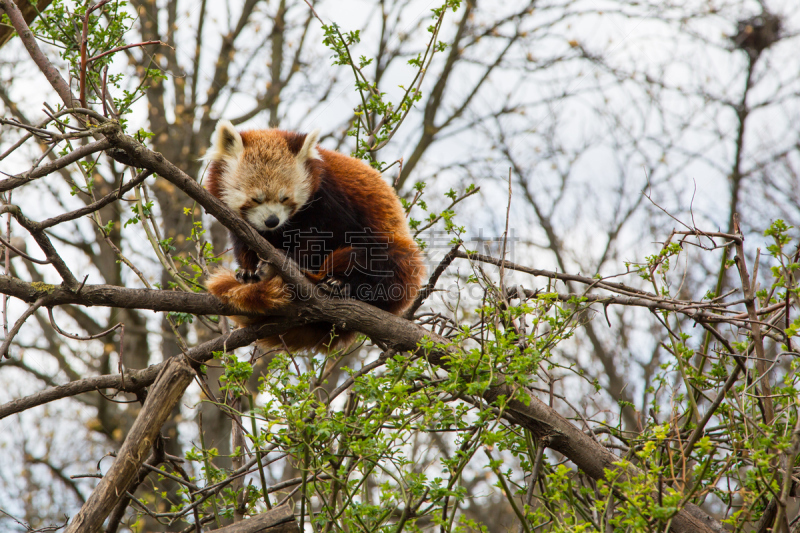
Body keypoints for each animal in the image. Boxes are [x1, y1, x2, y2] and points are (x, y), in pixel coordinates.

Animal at [205, 121, 424, 354]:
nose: (272, 220)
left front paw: (292, 260)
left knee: (380, 260)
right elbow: (244, 242)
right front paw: (247, 272)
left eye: (285, 198)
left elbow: (324, 238)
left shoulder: (330, 200)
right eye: (256, 199)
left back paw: (340, 283)